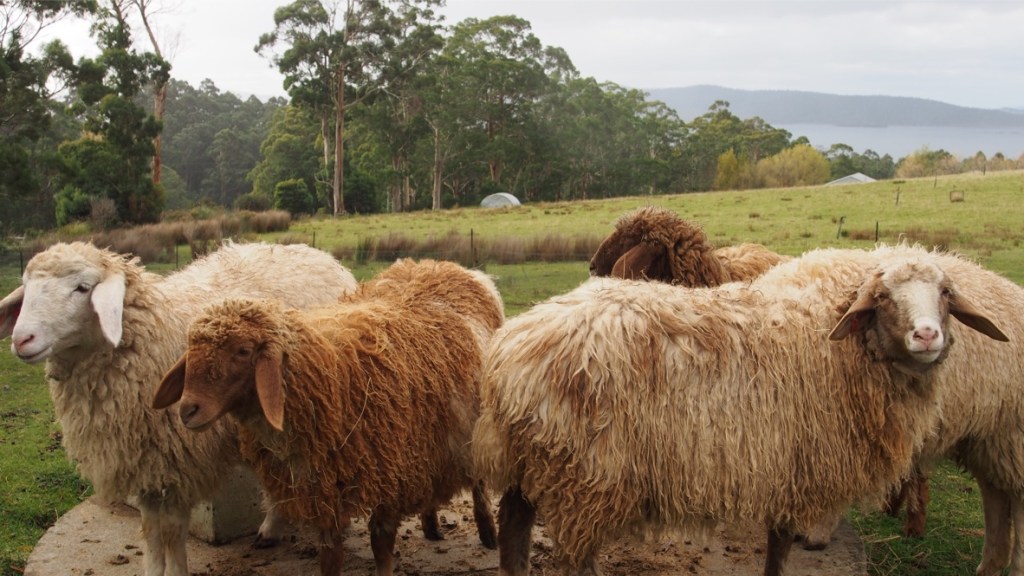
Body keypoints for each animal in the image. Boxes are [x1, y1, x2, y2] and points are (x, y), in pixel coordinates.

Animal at [0, 241, 357, 576]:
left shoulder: (177, 462)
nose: (21, 339)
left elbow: (172, 531)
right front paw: (153, 569)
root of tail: (318, 255)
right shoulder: (144, 460)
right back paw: (271, 529)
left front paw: (175, 570)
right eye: (26, 286)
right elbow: (150, 530)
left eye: (82, 287)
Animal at [152, 258, 503, 576]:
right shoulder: (324, 487)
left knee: (477, 481)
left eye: (242, 351)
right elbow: (330, 555)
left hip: (466, 428)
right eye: (191, 351)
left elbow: (381, 544)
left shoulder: (388, 473)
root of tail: (442, 266)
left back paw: (487, 531)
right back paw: (430, 524)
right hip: (428, 441)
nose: (187, 410)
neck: (328, 373)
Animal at [472, 244, 1008, 576]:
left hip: (530, 465)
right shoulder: (796, 466)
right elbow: (780, 548)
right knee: (570, 560)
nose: (927, 335)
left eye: (945, 294)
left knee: (514, 538)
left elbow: (777, 546)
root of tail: (510, 351)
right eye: (881, 297)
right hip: (585, 480)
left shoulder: (783, 468)